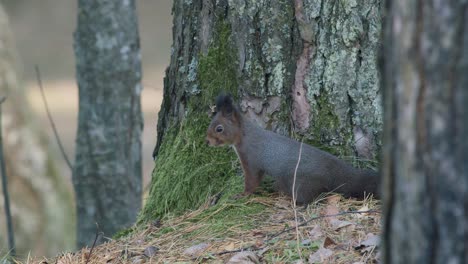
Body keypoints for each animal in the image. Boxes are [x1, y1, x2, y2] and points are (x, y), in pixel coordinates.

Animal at [207, 94, 382, 203]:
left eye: (219, 129)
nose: (207, 141)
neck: (245, 135)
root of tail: (333, 172)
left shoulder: (251, 158)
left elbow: (252, 180)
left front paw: (242, 195)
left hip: (301, 183)